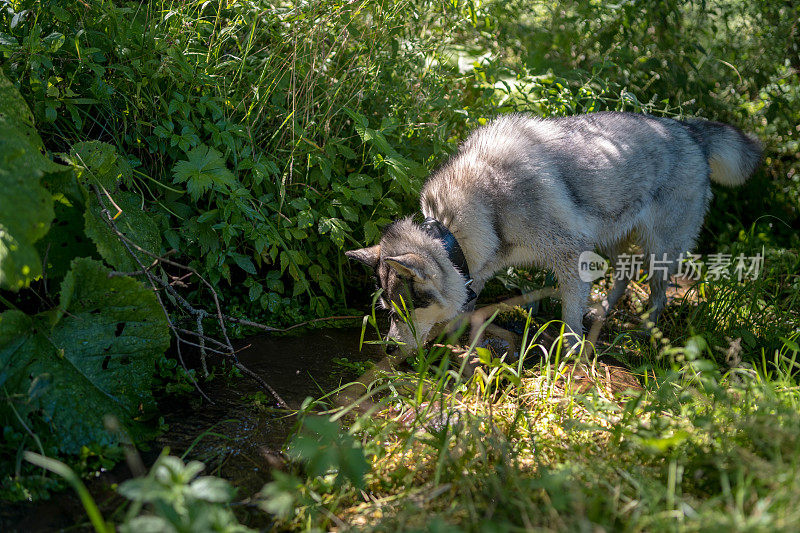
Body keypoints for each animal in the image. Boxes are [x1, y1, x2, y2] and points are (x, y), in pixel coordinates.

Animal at [346, 111, 764, 354]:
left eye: (403, 309)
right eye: (386, 311)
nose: (386, 349)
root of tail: (689, 129)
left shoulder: (569, 255)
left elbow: (568, 313)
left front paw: (572, 349)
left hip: (659, 249)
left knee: (658, 291)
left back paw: (646, 328)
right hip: (612, 240)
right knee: (624, 275)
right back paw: (604, 310)